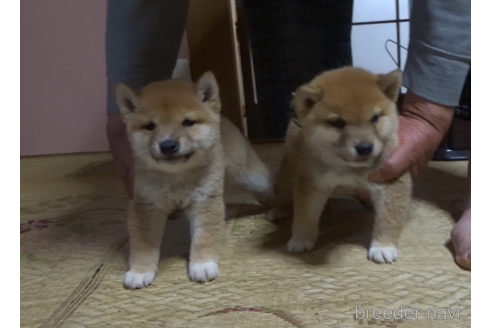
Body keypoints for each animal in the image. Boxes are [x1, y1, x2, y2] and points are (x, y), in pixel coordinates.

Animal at [117, 71, 274, 288]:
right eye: (150, 126)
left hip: (252, 177)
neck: (176, 177)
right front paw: (140, 271)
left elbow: (203, 238)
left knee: (270, 189)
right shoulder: (147, 205)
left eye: (188, 122)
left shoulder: (205, 201)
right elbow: (144, 245)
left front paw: (202, 265)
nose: (168, 145)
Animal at [270, 66, 414, 264]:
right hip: (289, 170)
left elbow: (389, 218)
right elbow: (304, 216)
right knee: (283, 192)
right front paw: (300, 240)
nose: (364, 147)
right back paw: (278, 210)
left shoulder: (390, 181)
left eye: (375, 118)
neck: (348, 168)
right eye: (337, 122)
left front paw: (383, 246)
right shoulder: (311, 182)